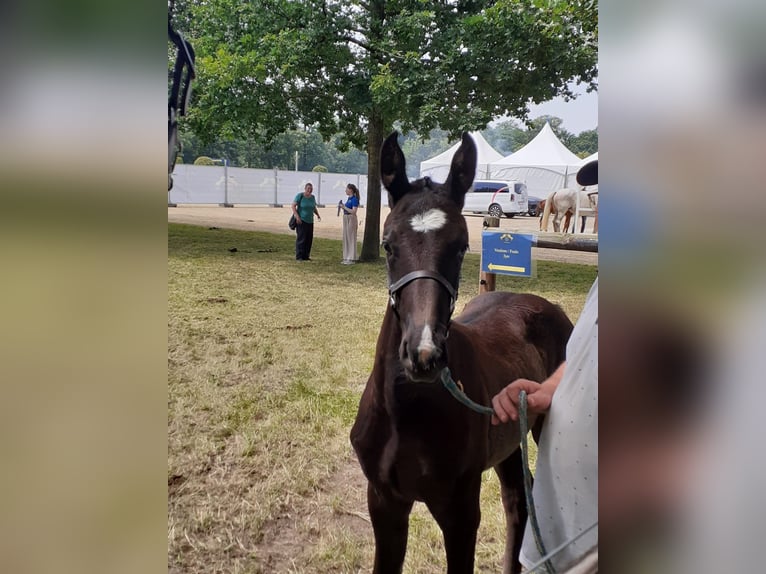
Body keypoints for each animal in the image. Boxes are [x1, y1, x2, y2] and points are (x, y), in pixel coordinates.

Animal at [352, 133, 572, 572]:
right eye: (388, 245)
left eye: (461, 246)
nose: (423, 355)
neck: (406, 417)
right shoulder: (384, 502)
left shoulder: (460, 511)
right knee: (518, 500)